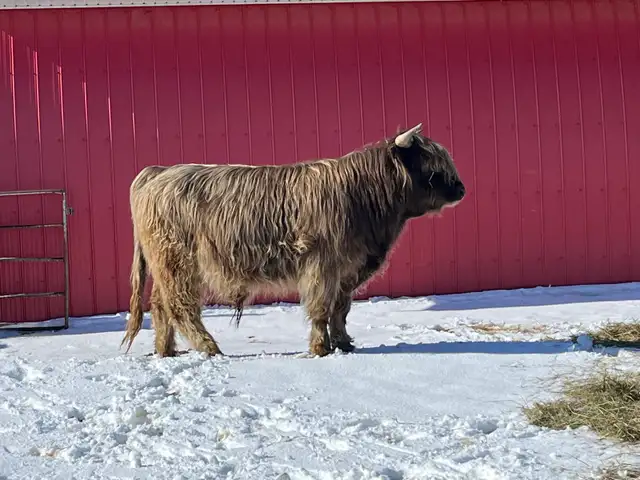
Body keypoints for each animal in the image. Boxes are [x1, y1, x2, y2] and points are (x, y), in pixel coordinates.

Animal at [121, 124, 465, 358]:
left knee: (160, 305)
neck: (362, 197)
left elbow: (341, 309)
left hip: (167, 266)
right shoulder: (322, 265)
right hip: (179, 263)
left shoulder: (347, 270)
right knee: (180, 306)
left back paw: (167, 350)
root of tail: (158, 172)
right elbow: (322, 308)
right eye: (432, 167)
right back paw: (210, 347)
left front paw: (344, 343)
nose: (461, 189)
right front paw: (320, 348)